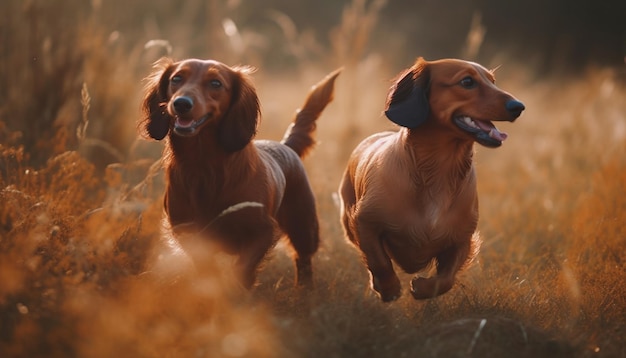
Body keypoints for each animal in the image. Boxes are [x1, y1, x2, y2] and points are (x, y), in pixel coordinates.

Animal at [140, 58, 338, 288]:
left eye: (215, 83)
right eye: (177, 78)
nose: (181, 103)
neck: (203, 167)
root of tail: (286, 145)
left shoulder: (262, 232)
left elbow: (241, 270)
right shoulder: (188, 234)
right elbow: (208, 270)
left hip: (303, 227)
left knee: (303, 259)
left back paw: (304, 291)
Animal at [336, 57, 520, 300]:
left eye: (493, 81)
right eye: (467, 81)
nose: (518, 107)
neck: (437, 174)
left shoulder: (462, 239)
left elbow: (446, 279)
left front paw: (421, 288)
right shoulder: (365, 222)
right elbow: (379, 262)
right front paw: (389, 289)